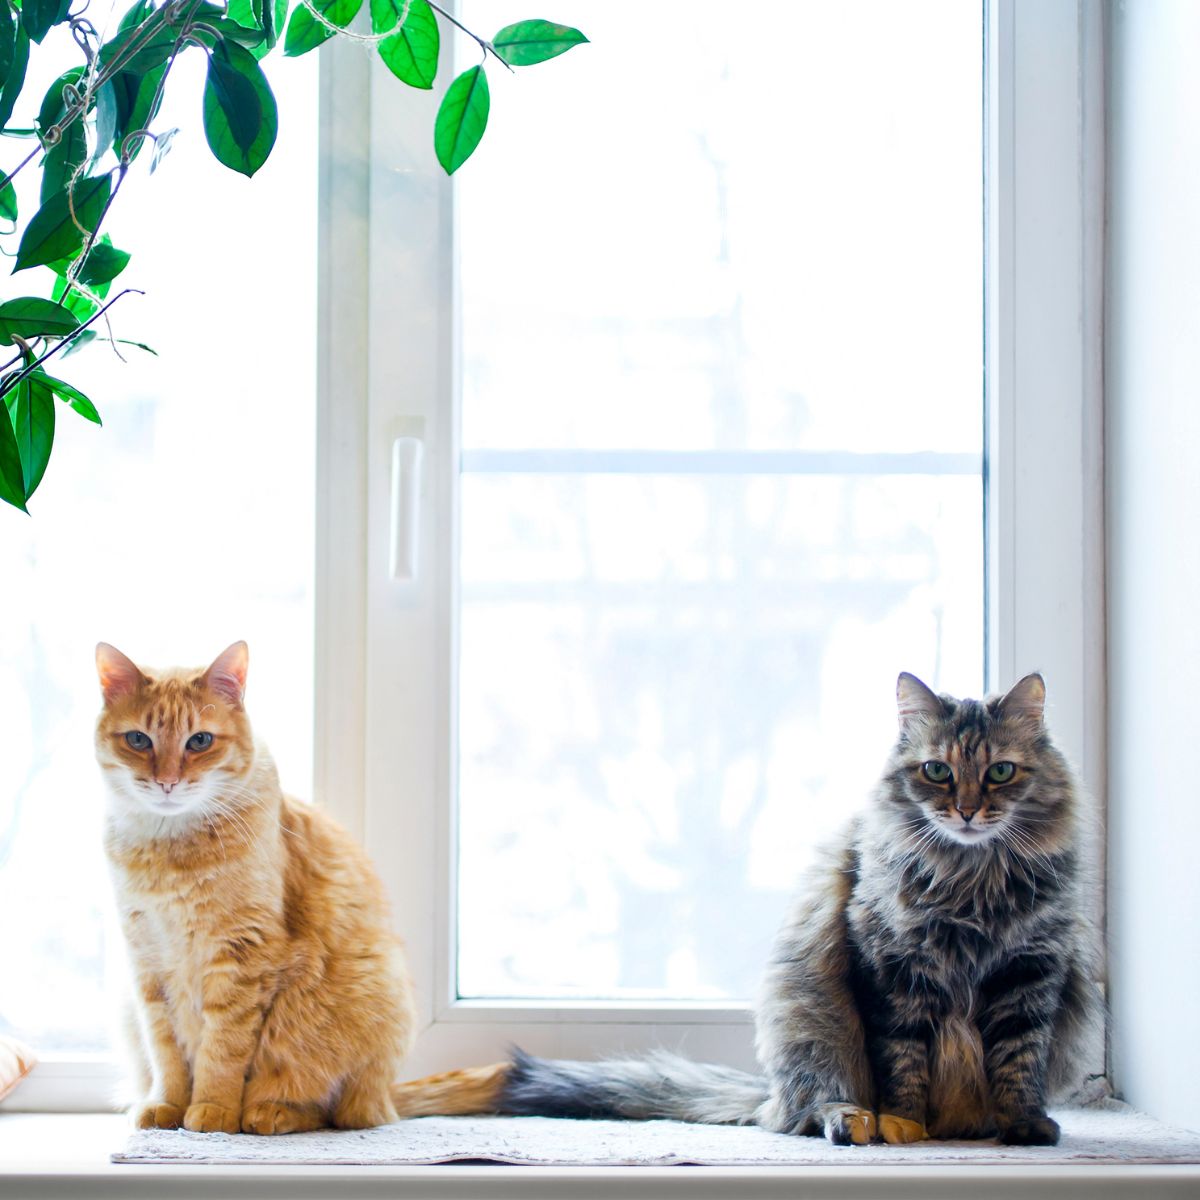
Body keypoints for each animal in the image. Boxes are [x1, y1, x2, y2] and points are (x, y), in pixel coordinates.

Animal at [94, 643, 501, 1128]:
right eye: (139, 740)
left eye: (199, 741)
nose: (167, 782)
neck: (168, 850)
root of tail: (386, 1094)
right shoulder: (148, 964)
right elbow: (166, 1051)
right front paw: (167, 1105)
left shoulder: (241, 956)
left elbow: (222, 1050)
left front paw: (213, 1109)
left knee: (333, 1112)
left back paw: (271, 1113)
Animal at [496, 672, 1099, 1147]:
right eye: (936, 771)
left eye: (999, 772)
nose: (967, 811)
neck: (971, 880)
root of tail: (771, 1095)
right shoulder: (891, 965)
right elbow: (902, 1058)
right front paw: (904, 1124)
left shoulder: (1032, 968)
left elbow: (1019, 1058)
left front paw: (1023, 1123)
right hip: (810, 1023)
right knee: (807, 1108)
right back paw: (852, 1121)